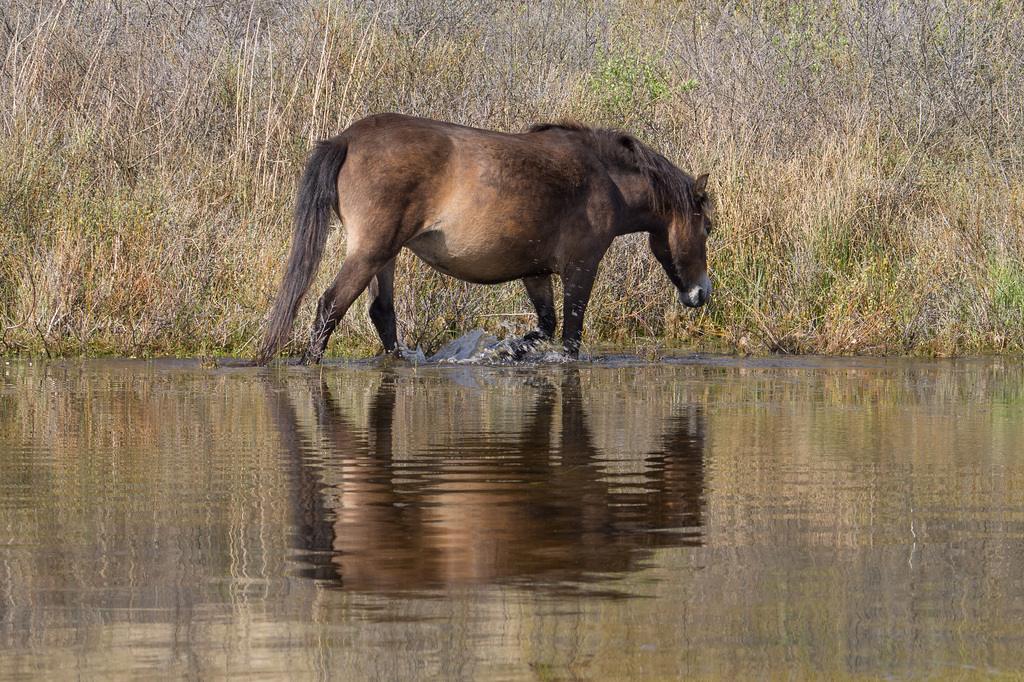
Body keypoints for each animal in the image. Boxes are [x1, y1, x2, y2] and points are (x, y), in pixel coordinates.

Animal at [258, 114, 712, 364]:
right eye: (707, 227)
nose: (702, 293)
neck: (604, 176)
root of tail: (347, 138)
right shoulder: (582, 268)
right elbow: (569, 339)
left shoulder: (536, 271)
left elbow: (544, 329)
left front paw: (510, 350)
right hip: (370, 252)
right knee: (329, 307)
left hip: (385, 256)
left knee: (382, 315)